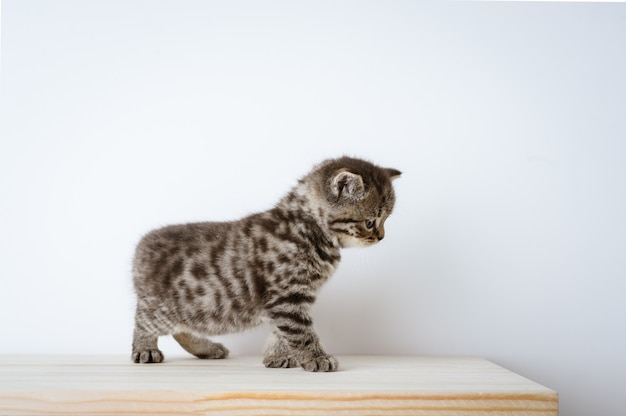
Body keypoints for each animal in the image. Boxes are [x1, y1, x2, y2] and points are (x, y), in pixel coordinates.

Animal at [132, 158, 400, 372]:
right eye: (370, 222)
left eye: (386, 219)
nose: (381, 237)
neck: (307, 228)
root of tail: (142, 245)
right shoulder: (287, 296)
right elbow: (301, 332)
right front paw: (316, 358)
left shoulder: (293, 298)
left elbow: (281, 331)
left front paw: (276, 356)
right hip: (165, 306)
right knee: (144, 319)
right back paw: (145, 348)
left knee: (181, 328)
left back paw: (207, 349)